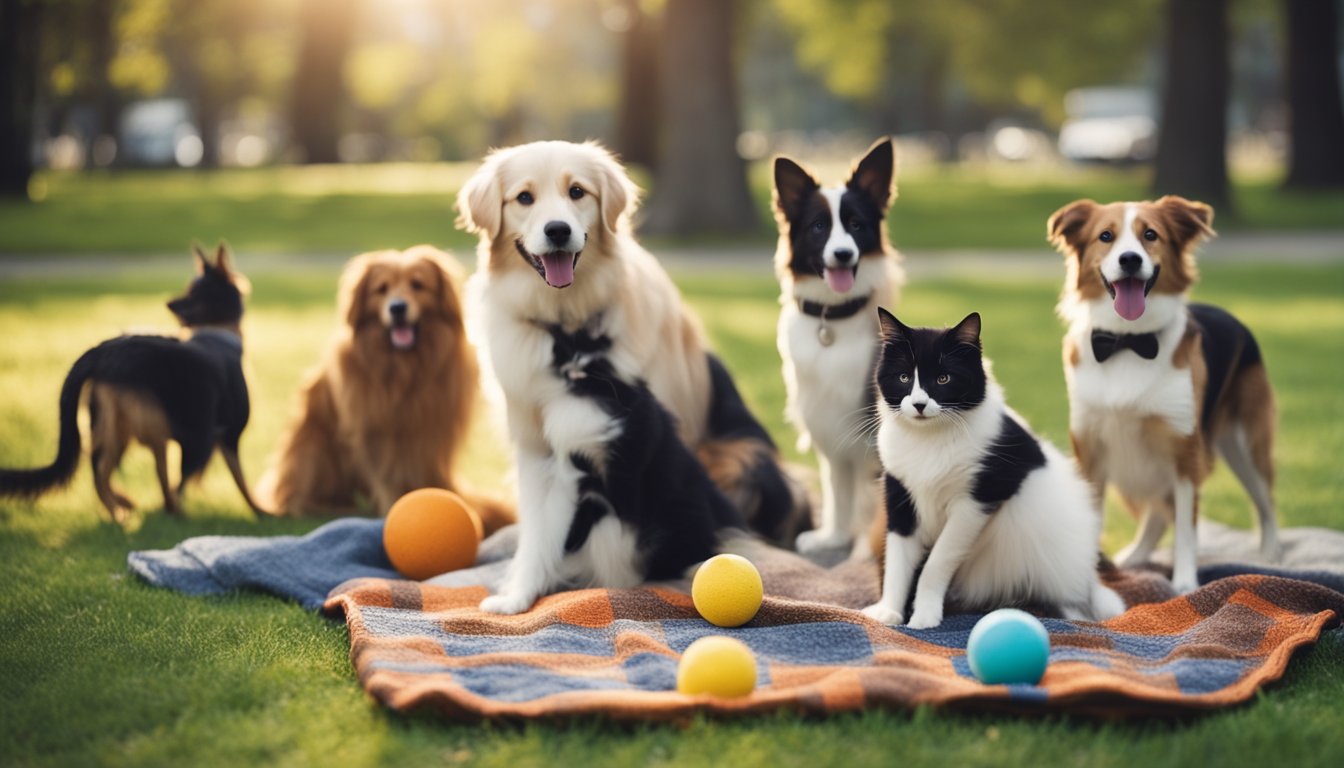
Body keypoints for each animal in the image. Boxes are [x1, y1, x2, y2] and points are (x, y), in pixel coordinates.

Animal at [256, 246, 513, 535]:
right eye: (382, 289)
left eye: (417, 285)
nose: (397, 307)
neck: (405, 369)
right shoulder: (377, 431)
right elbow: (387, 474)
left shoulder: (431, 435)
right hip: (314, 447)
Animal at [860, 309, 1123, 626]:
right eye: (904, 377)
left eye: (943, 378)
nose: (919, 404)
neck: (929, 438)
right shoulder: (899, 494)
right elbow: (897, 561)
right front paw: (889, 610)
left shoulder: (977, 500)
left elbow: (937, 560)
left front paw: (924, 615)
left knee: (1071, 598)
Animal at [1048, 195, 1279, 591]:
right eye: (1105, 236)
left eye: (1151, 235)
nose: (1130, 259)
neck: (1127, 342)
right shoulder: (1090, 449)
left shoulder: (1185, 450)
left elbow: (1186, 526)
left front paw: (1185, 583)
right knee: (1157, 513)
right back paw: (1135, 556)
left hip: (1246, 443)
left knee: (1264, 499)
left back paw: (1270, 553)